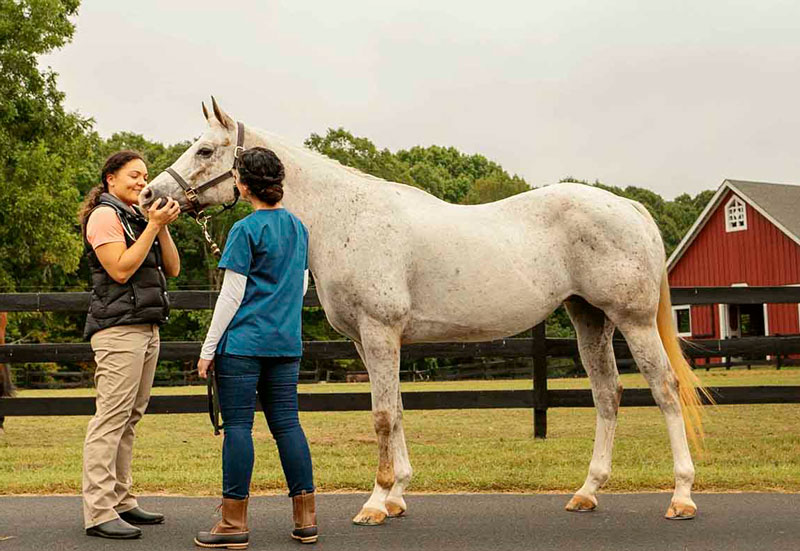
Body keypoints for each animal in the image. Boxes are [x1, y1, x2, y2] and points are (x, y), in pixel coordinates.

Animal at [142, 99, 708, 528]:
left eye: (205, 149)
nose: (151, 194)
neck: (346, 217)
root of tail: (628, 207)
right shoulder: (369, 341)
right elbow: (395, 410)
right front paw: (396, 497)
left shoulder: (379, 334)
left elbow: (382, 415)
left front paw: (375, 502)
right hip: (589, 318)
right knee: (608, 395)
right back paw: (588, 491)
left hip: (632, 321)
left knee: (664, 390)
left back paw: (681, 495)